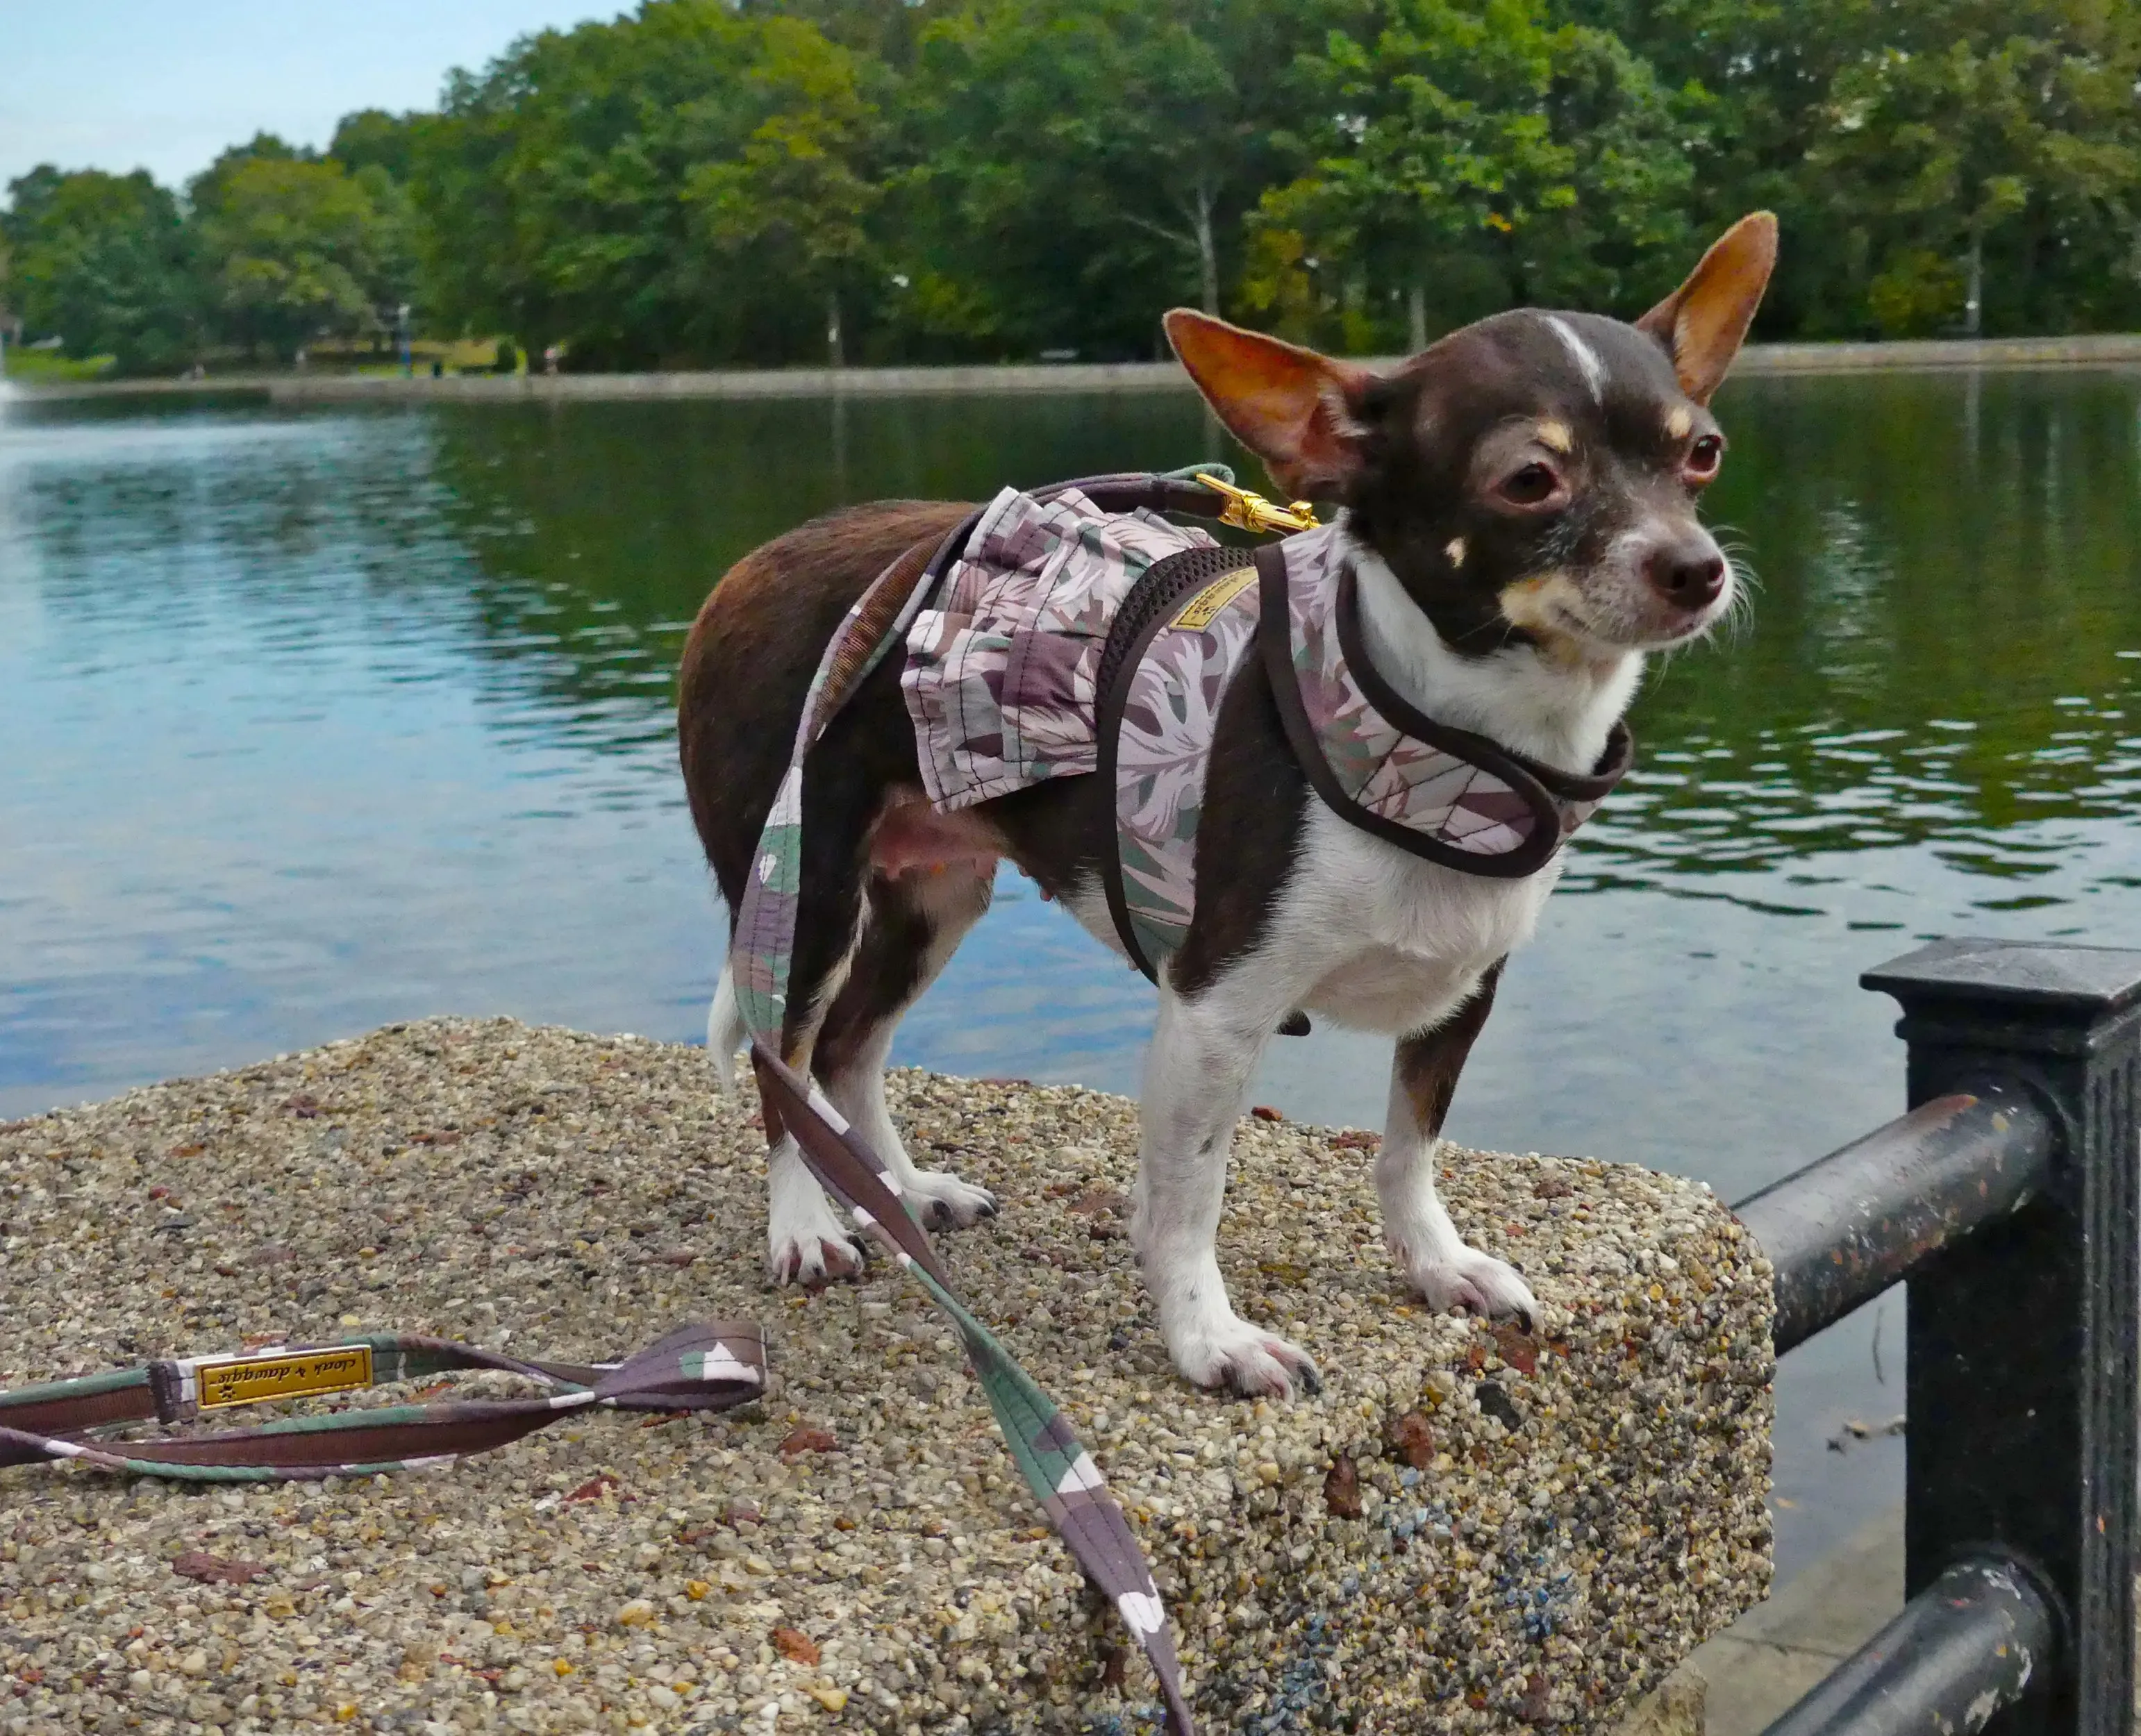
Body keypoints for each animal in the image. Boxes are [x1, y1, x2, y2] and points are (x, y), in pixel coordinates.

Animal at [681, 214, 1772, 1395]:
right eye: (1529, 479)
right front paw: (1209, 1339)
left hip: (933, 898)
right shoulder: (1214, 1010)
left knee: (846, 1047)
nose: (1695, 567)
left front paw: (1434, 1265)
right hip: (806, 893)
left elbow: (1408, 1149)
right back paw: (806, 1224)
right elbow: (1187, 1199)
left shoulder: (1462, 993)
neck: (1450, 735)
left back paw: (903, 1192)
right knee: (785, 1065)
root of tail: (747, 566)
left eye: (1701, 454)